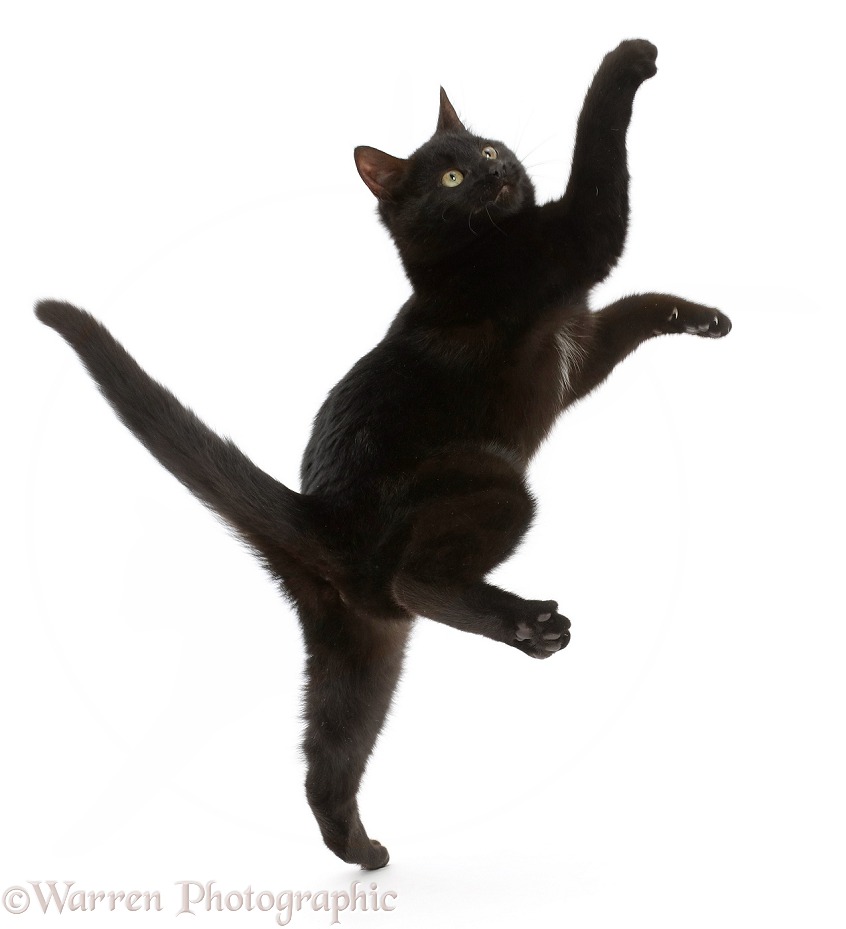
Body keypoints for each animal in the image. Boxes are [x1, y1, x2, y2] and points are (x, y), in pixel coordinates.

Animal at [36, 40, 732, 872]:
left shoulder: (578, 347)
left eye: (485, 150)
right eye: (452, 179)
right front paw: (628, 60)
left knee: (328, 751)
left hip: (358, 646)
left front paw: (701, 317)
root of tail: (317, 515)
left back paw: (359, 847)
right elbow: (598, 153)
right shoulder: (576, 241)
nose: (496, 170)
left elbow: (631, 312)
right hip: (493, 485)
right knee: (420, 579)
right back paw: (535, 628)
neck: (477, 253)